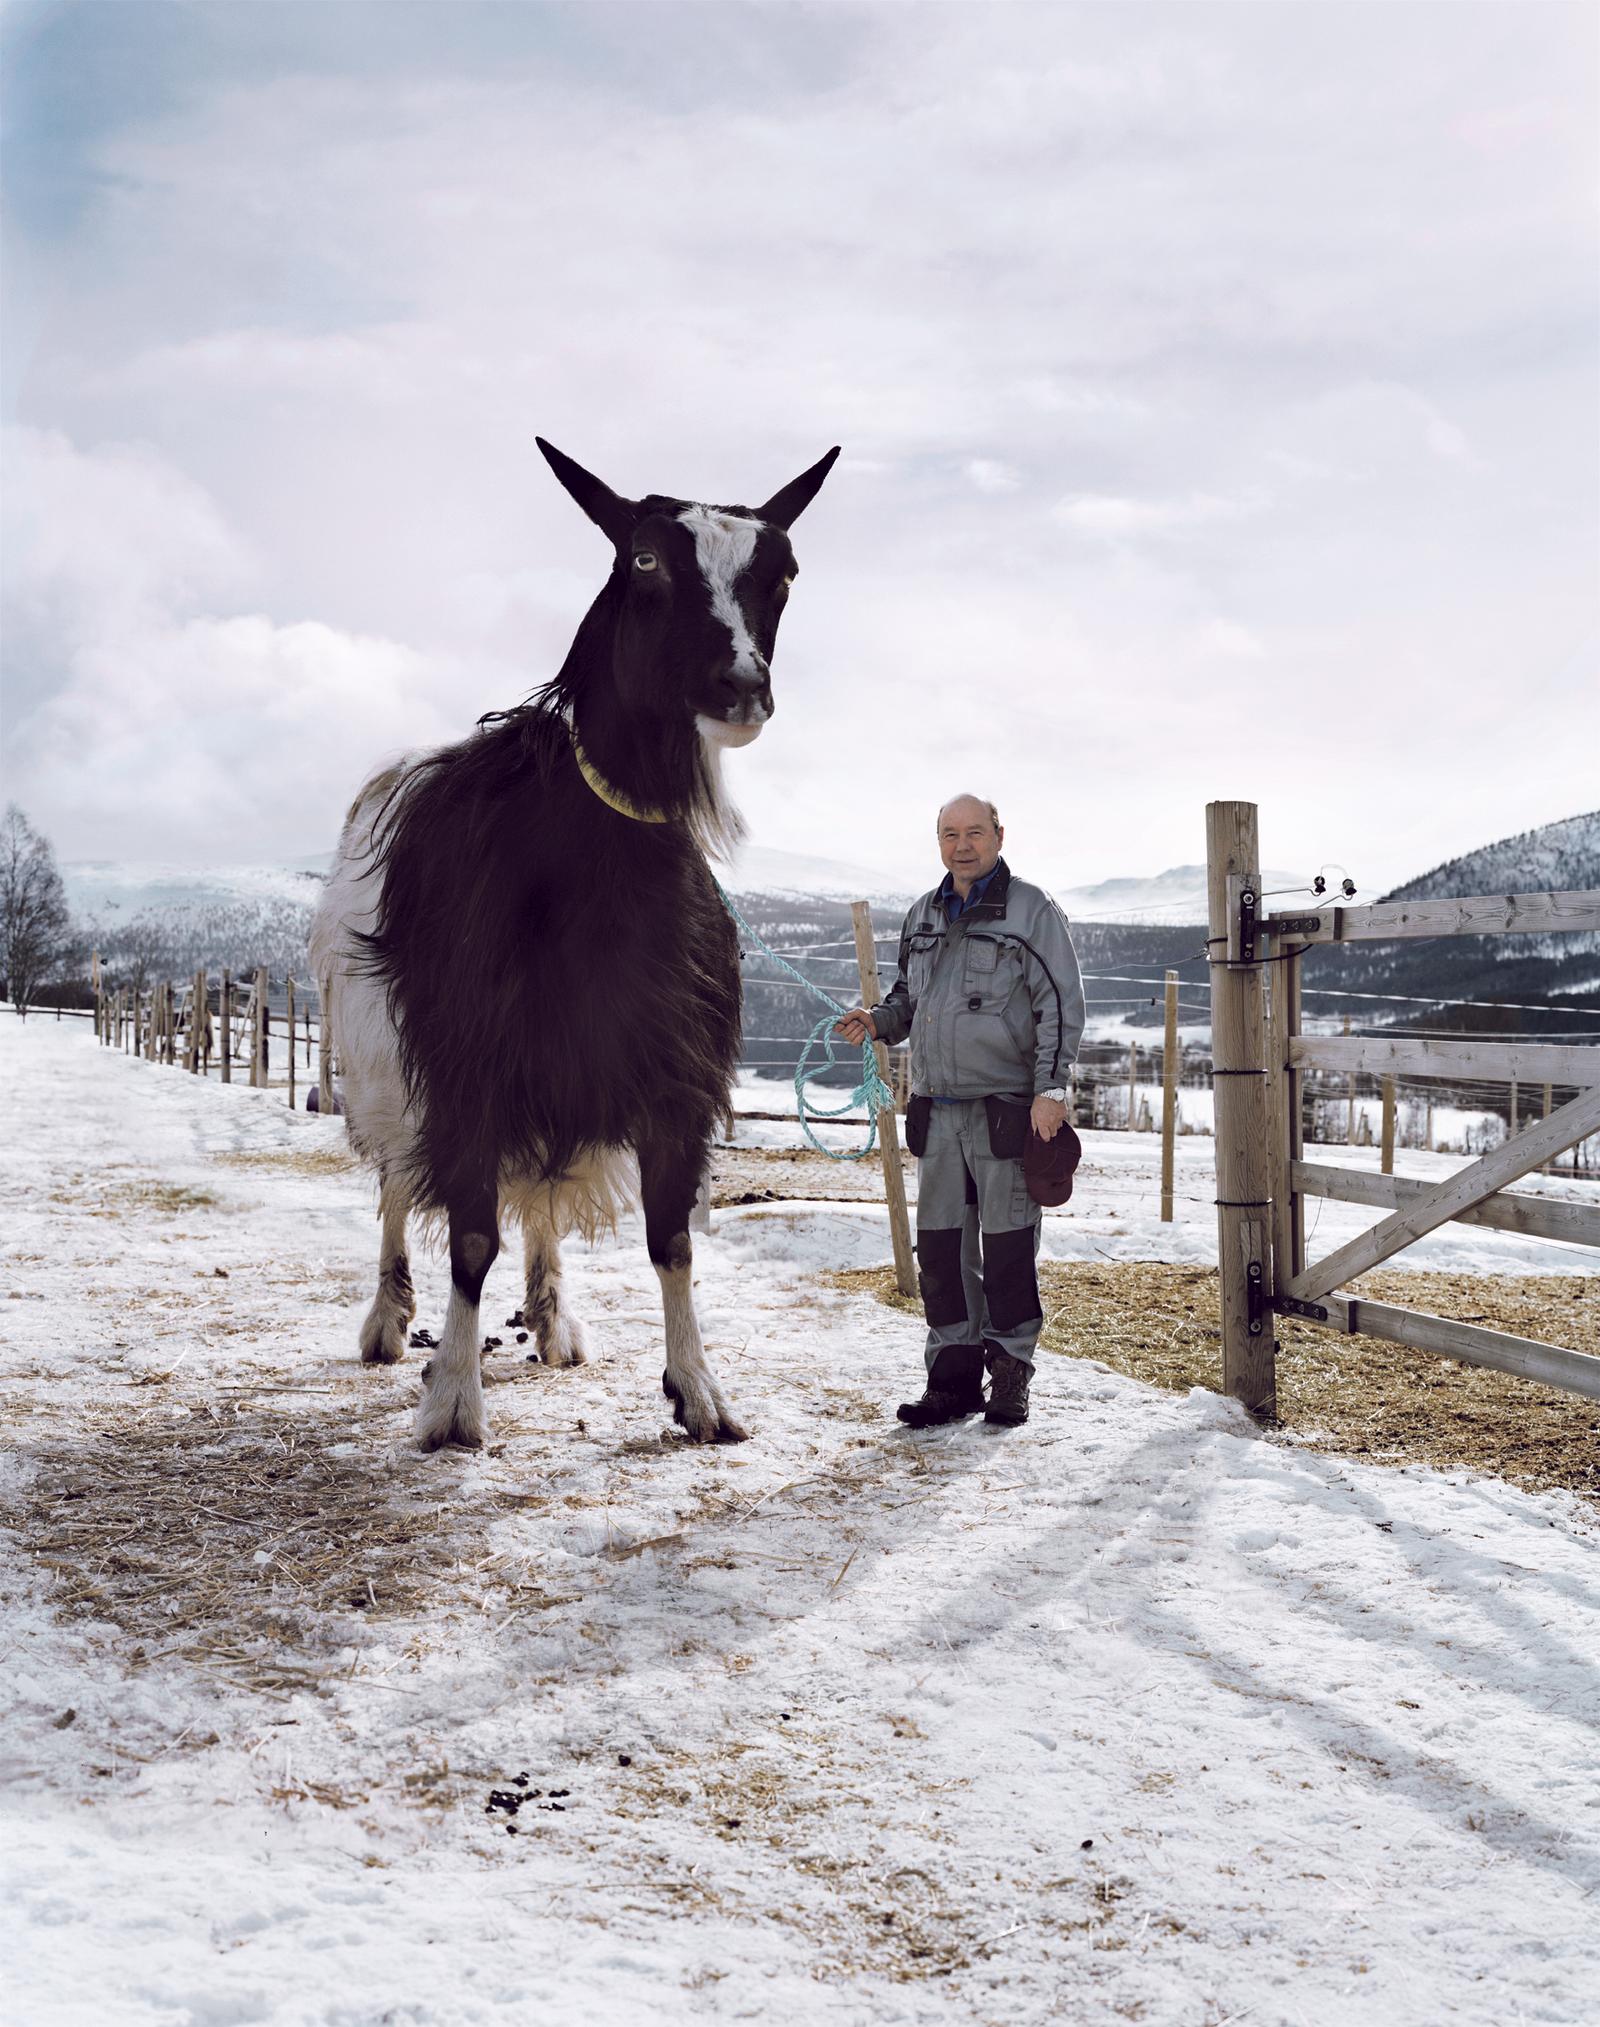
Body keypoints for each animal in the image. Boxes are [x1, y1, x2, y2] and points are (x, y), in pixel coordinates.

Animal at [310, 439, 839, 1451]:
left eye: (785, 572)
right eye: (644, 559)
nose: (741, 687)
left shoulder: (672, 1075)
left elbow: (671, 1237)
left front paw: (699, 1391)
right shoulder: (465, 1066)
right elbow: (471, 1234)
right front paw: (453, 1402)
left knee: (541, 1196)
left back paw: (552, 1315)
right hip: (382, 1067)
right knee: (397, 1188)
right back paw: (389, 1322)